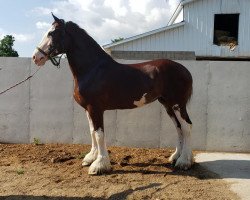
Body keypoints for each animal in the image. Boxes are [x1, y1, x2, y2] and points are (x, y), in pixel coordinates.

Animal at [32, 13, 193, 174]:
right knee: (179, 128)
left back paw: (184, 162)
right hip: (168, 105)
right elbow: (92, 131)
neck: (92, 69)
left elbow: (99, 134)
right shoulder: (88, 109)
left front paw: (99, 165)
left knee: (186, 127)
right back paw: (175, 157)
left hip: (177, 104)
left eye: (52, 33)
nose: (36, 57)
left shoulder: (95, 108)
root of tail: (185, 70)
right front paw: (91, 157)